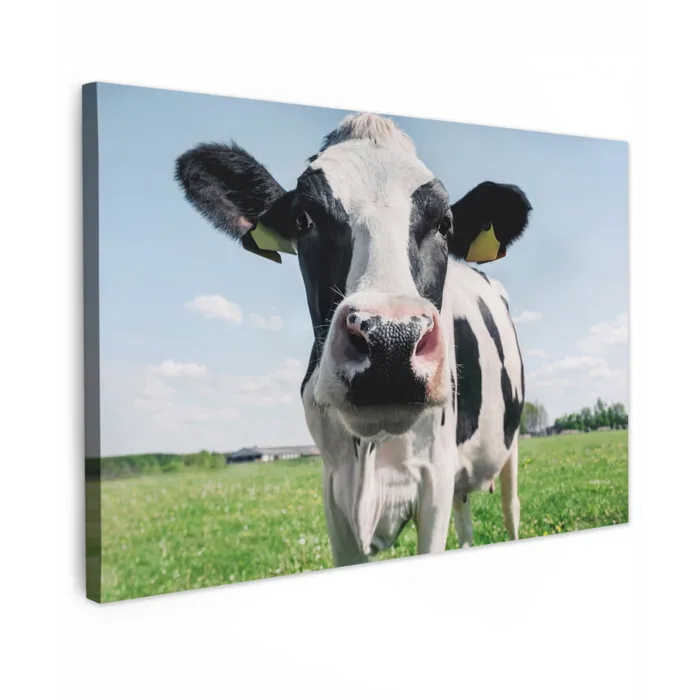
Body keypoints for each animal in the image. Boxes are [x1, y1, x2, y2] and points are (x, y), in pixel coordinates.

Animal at [175, 113, 533, 567]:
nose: (392, 342)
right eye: (303, 219)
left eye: (445, 223)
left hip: (510, 446)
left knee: (512, 509)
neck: (372, 449)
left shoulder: (435, 475)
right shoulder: (334, 487)